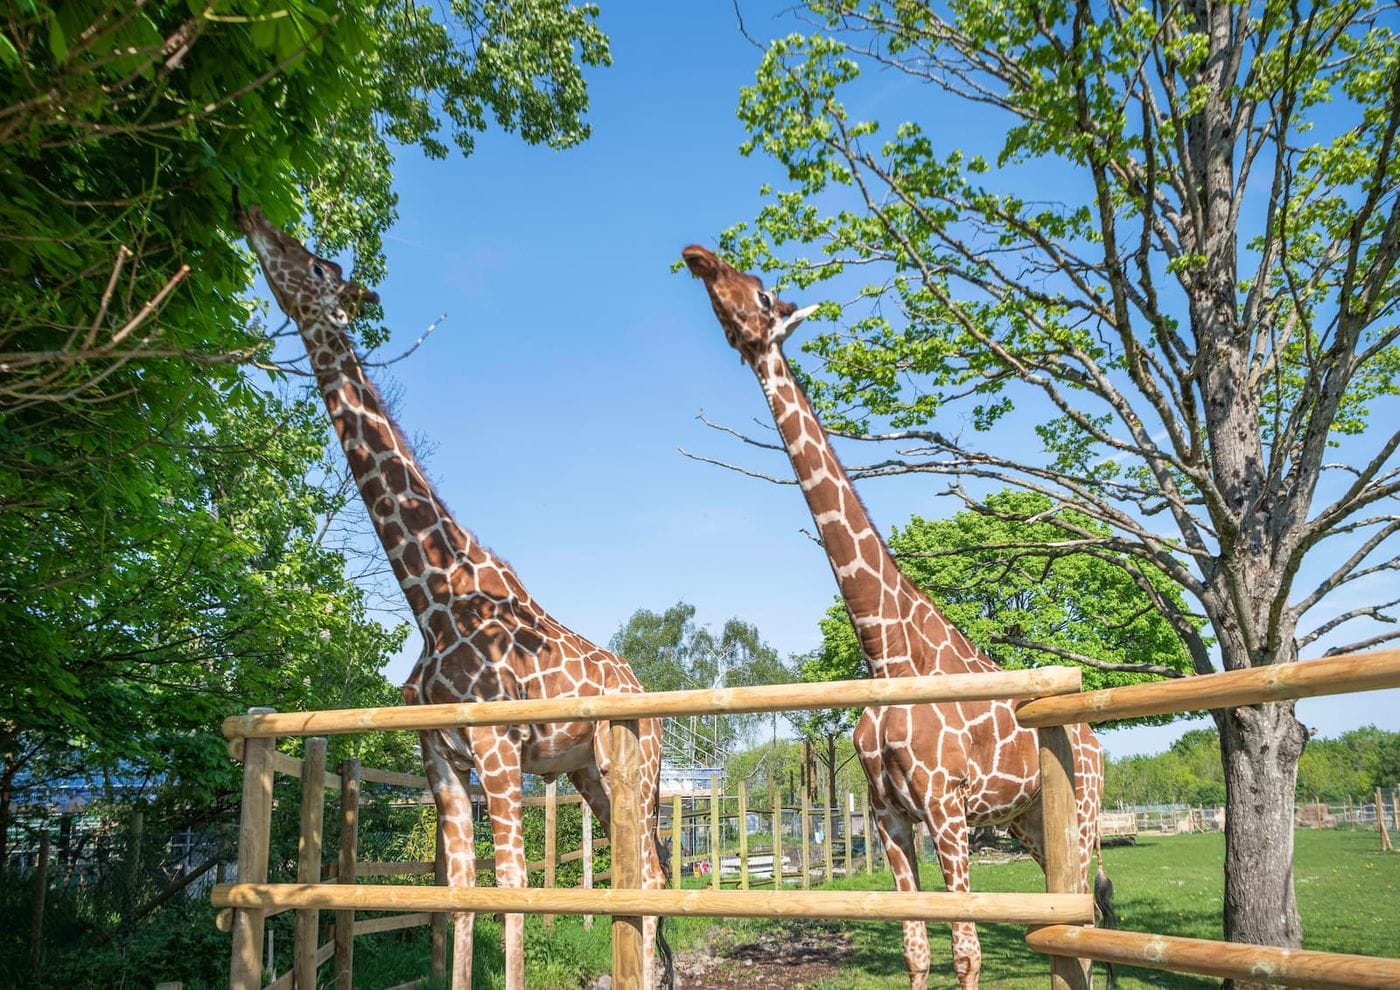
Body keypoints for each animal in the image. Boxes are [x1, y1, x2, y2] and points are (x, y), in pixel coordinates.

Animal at [236, 203, 671, 990]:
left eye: (318, 266)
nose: (251, 213)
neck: (433, 601)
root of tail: (645, 692)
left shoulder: (498, 750)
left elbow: (514, 887)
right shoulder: (440, 752)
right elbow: (460, 888)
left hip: (636, 764)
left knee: (650, 875)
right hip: (588, 771)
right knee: (646, 870)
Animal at [682, 245, 1106, 990]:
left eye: (762, 293)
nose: (697, 257)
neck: (885, 651)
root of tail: (1097, 743)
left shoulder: (945, 806)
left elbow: (966, 951)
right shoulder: (889, 817)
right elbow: (917, 947)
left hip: (1080, 814)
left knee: (1090, 922)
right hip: (1030, 822)